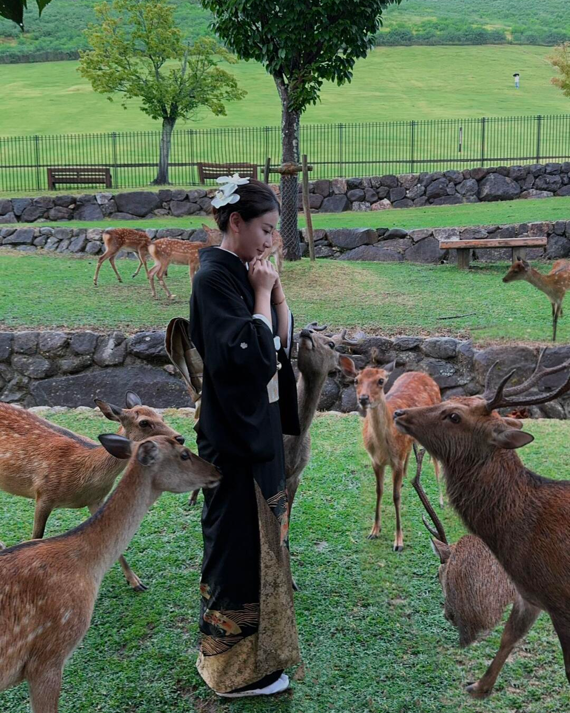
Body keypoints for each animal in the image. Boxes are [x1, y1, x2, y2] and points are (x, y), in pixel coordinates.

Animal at [0, 392, 184, 592]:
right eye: (144, 422)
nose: (180, 438)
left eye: (161, 416)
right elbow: (36, 536)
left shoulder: (95, 499)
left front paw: (136, 582)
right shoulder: (43, 493)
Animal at [339, 351, 442, 551]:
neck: (383, 448)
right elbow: (379, 490)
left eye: (380, 381)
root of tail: (423, 374)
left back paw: (441, 500)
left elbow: (395, 497)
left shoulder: (395, 462)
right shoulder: (375, 461)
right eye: (356, 380)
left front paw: (399, 541)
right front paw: (374, 531)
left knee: (436, 461)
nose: (363, 399)